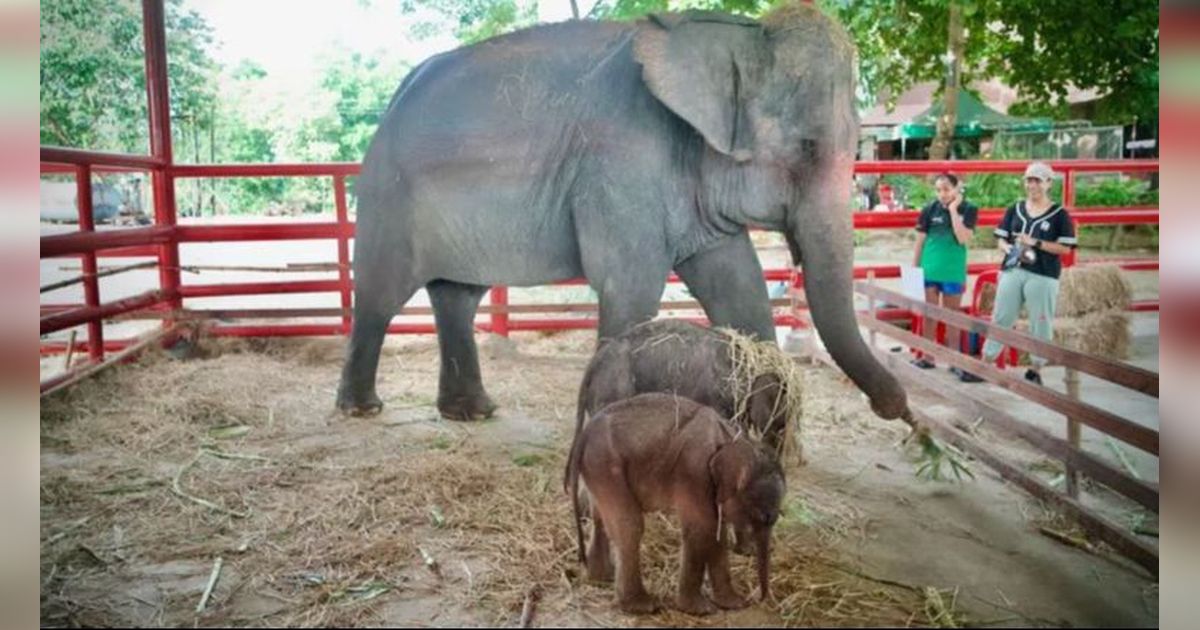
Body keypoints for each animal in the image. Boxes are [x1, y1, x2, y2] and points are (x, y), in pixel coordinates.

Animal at [338, 2, 907, 422]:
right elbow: (630, 285)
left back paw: (473, 412)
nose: (896, 409)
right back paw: (362, 409)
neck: (735, 30)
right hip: (388, 198)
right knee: (382, 295)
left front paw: (766, 435)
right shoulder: (620, 165)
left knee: (457, 296)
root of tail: (396, 96)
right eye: (807, 148)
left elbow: (738, 283)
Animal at [564, 393, 787, 614]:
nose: (757, 600)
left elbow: (718, 534)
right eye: (762, 516)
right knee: (629, 526)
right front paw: (701, 609)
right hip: (606, 464)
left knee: (599, 517)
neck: (732, 439)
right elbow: (701, 528)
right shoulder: (694, 471)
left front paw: (733, 603)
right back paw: (643, 605)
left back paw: (602, 579)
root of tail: (584, 434)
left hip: (596, 468)